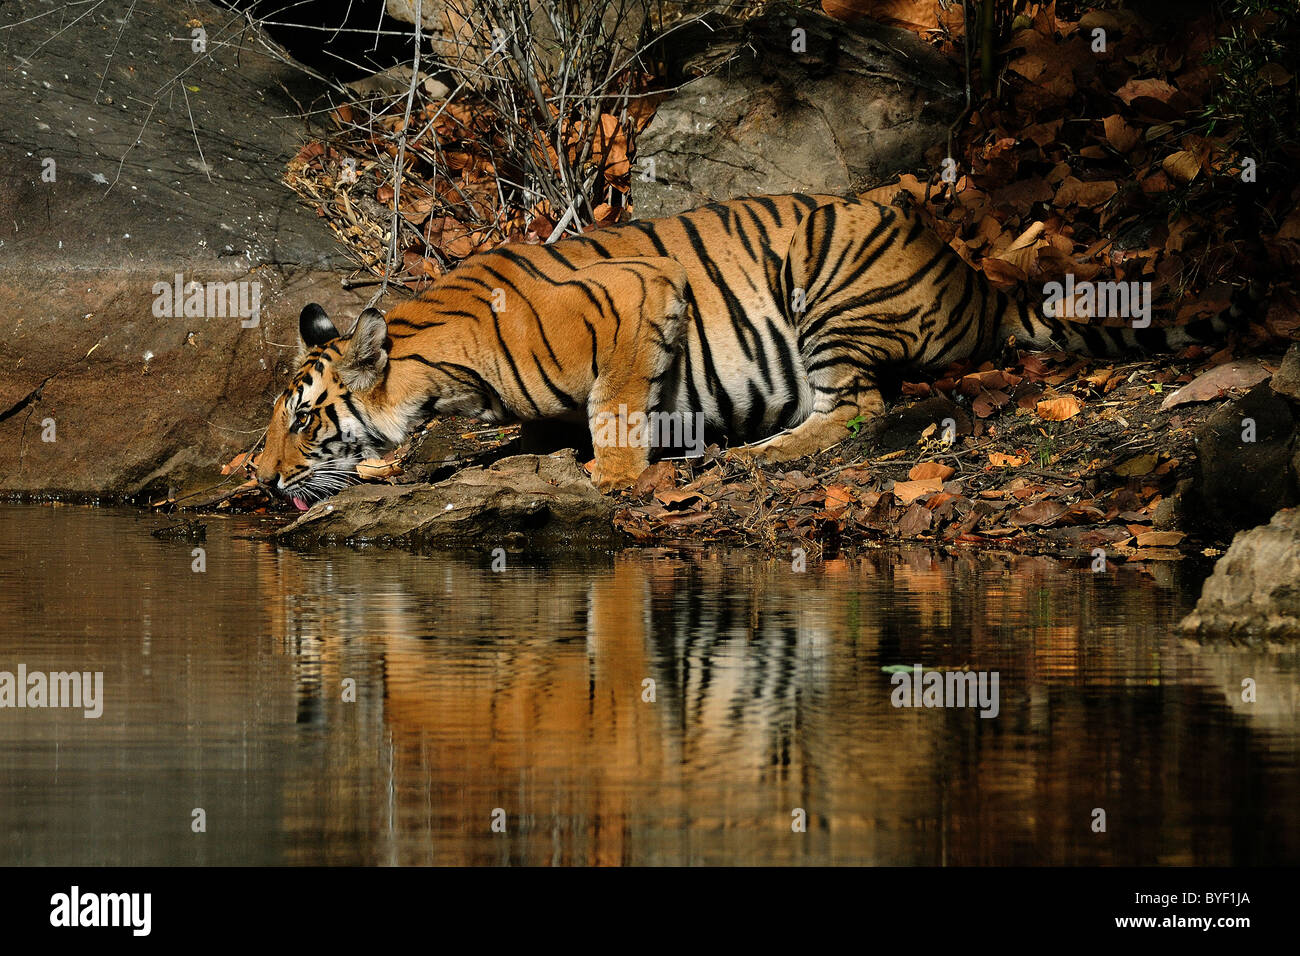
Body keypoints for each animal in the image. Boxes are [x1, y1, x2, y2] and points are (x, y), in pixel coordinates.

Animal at [256, 196, 1227, 509]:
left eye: (304, 421)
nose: (259, 478)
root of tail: (968, 274)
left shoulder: (637, 295)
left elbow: (616, 406)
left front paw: (610, 478)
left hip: (828, 295)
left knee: (860, 411)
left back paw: (757, 451)